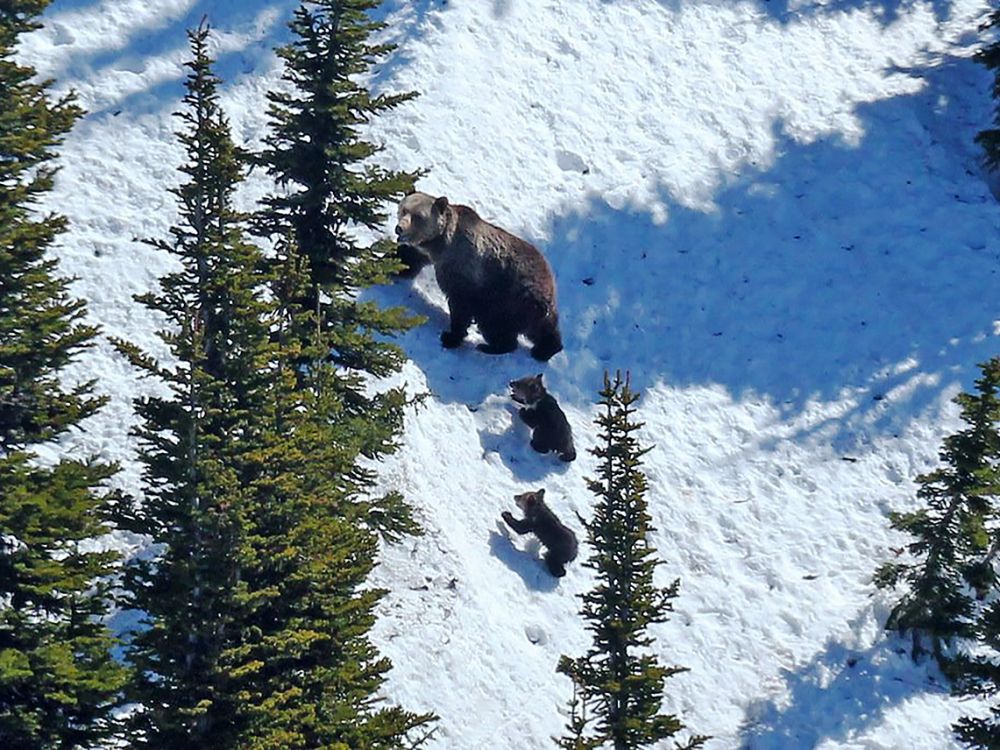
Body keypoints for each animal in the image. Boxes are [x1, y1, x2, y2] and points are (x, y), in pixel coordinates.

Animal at [394, 192, 563, 361]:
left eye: (418, 216)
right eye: (404, 209)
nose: (399, 228)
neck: (440, 244)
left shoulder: (465, 270)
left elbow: (461, 304)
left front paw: (451, 337)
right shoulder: (428, 254)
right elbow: (410, 259)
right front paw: (397, 269)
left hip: (507, 298)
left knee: (494, 324)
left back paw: (491, 346)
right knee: (543, 328)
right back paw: (545, 349)